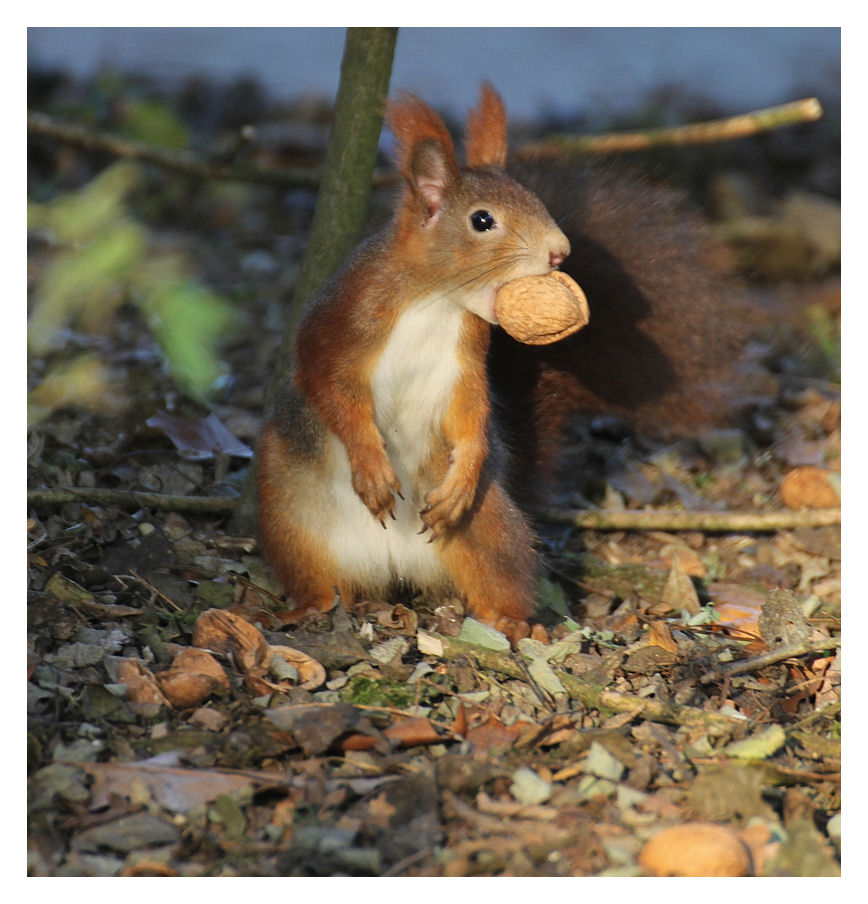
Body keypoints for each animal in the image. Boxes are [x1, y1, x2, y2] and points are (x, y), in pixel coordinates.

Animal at [258, 83, 744, 636]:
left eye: (534, 199)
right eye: (482, 221)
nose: (560, 252)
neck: (437, 299)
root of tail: (391, 567)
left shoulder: (466, 361)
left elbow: (471, 414)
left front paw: (466, 468)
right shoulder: (342, 324)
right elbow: (330, 388)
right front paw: (371, 465)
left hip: (487, 527)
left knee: (500, 576)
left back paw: (508, 621)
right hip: (290, 514)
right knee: (315, 576)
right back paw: (306, 606)